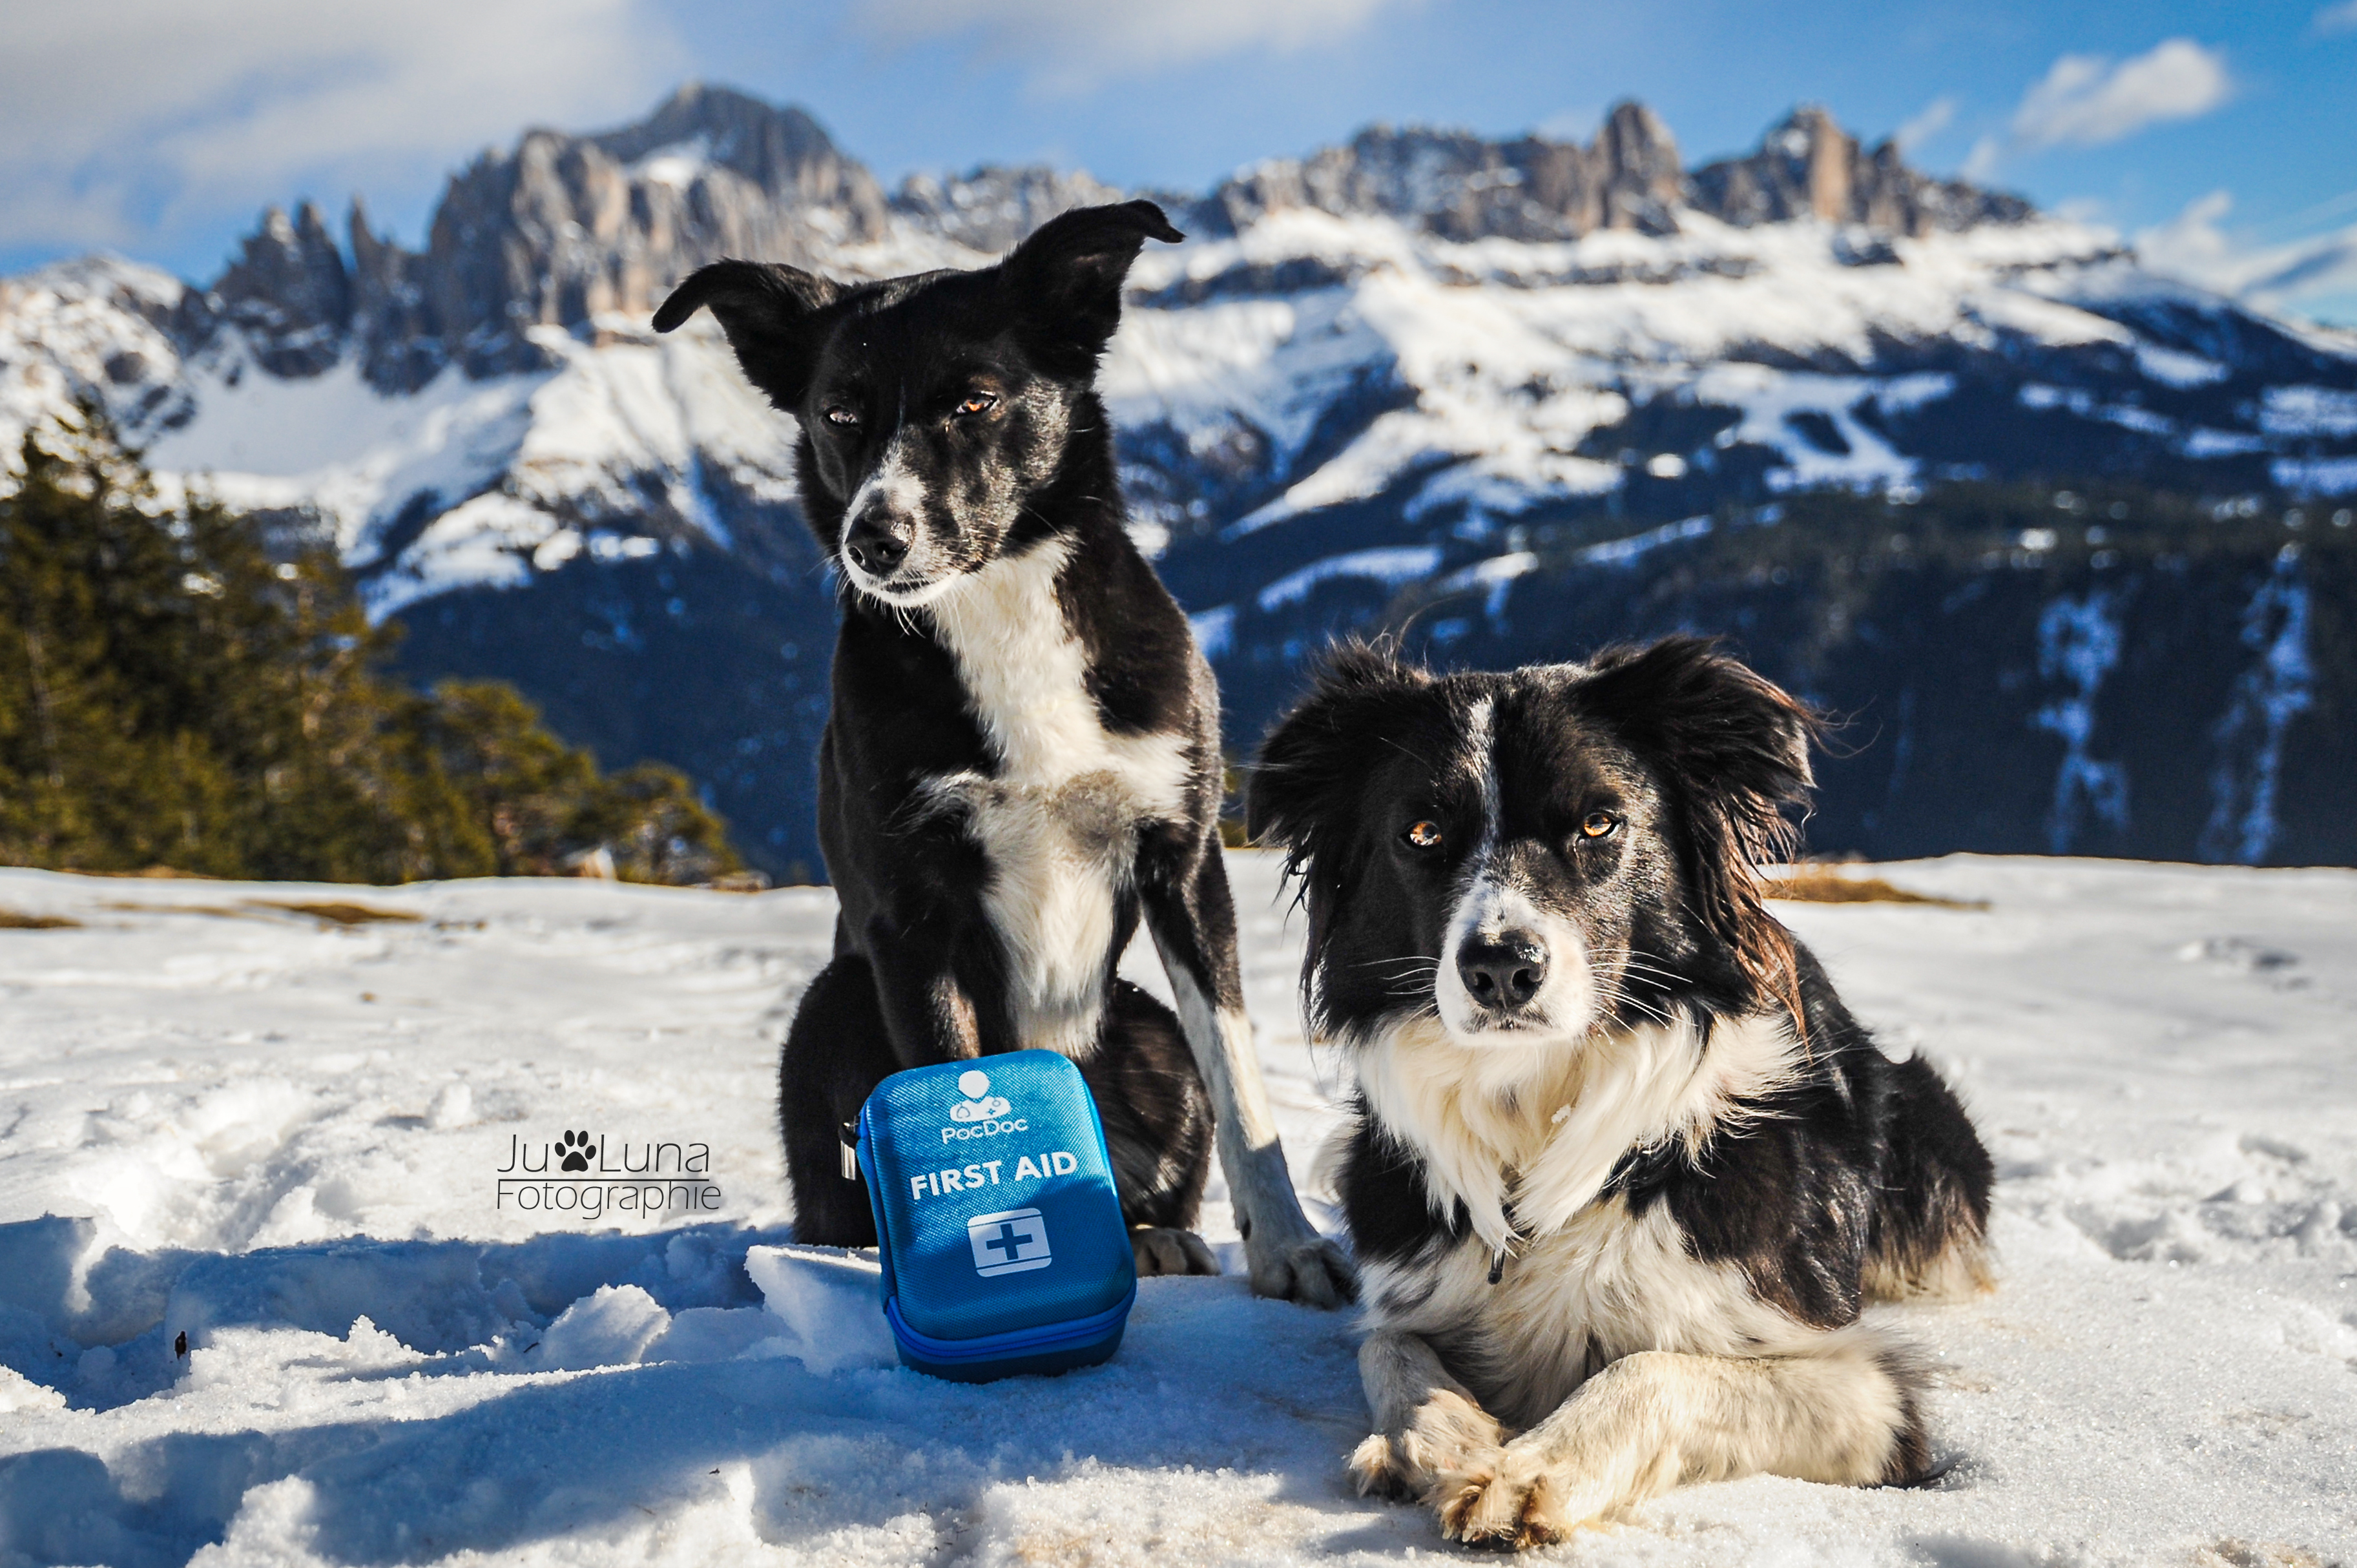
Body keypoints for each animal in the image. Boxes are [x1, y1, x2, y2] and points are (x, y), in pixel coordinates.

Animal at [659, 201, 1367, 1301]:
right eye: (838, 414)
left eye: (976, 401)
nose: (875, 540)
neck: (999, 608)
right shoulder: (913, 918)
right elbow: (948, 1081)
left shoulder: (1186, 862)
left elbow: (1242, 1083)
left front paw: (1290, 1248)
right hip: (835, 1001)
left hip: (1142, 1028)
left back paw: (1150, 1233)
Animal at [1244, 636, 1999, 1537]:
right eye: (1421, 833)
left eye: (1598, 823)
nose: (1501, 968)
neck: (1535, 1107)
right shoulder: (1410, 1289)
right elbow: (1387, 1346)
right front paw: (1440, 1439)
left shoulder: (1866, 1390)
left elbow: (1653, 1367)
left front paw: (1531, 1468)